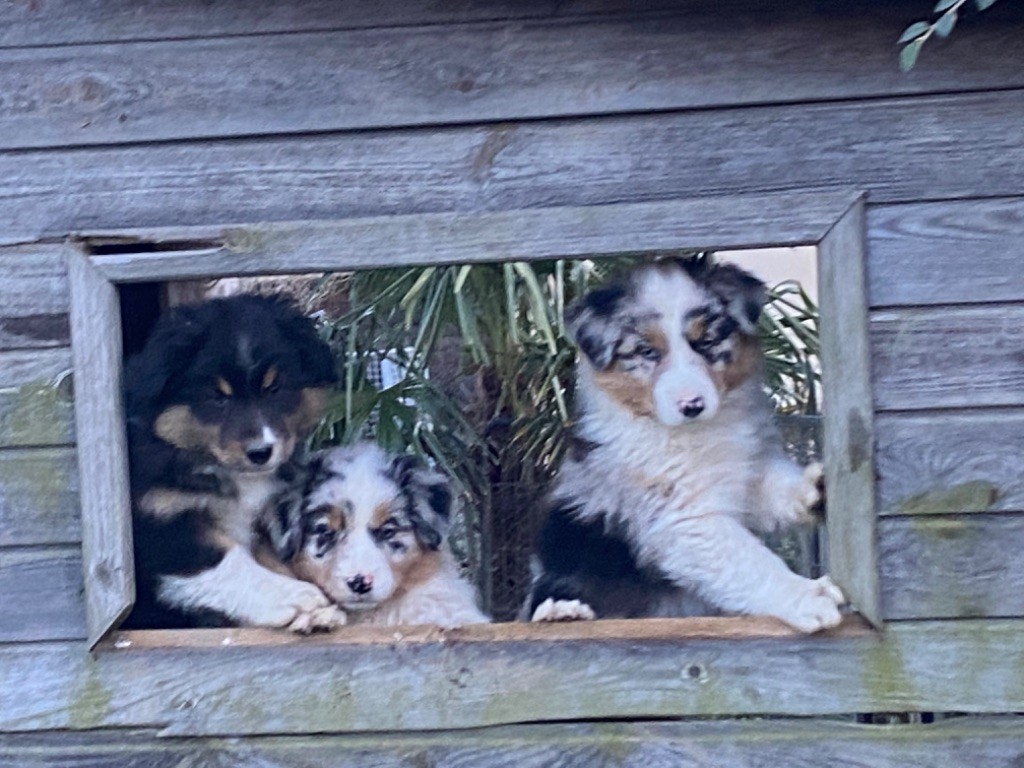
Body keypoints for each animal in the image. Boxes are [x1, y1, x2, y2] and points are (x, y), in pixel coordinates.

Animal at [119, 294, 344, 630]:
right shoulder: (160, 523)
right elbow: (229, 562)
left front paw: (319, 612)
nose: (261, 452)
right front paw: (295, 598)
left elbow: (271, 557)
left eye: (274, 388)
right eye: (217, 397)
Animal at [524, 256, 843, 634]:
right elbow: (748, 560)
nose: (692, 405)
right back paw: (562, 611)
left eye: (706, 341)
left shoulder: (745, 475)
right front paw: (806, 596)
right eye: (647, 352)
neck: (695, 433)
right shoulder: (685, 518)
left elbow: (773, 490)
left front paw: (813, 488)